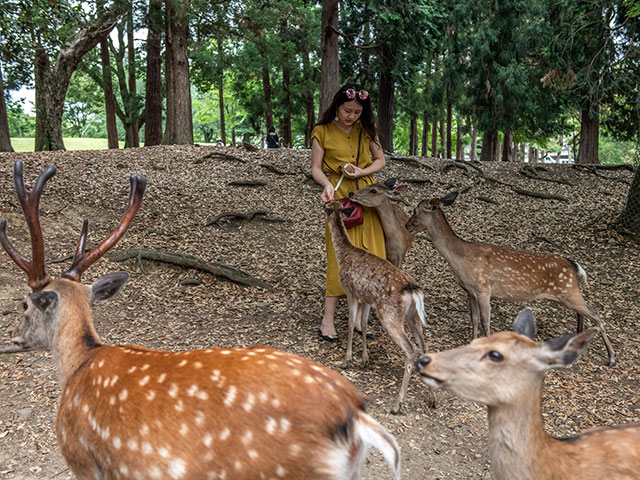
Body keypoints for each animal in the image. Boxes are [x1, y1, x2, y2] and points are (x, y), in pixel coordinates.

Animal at [324, 199, 436, 412]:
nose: (324, 201)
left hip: (390, 315)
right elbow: (364, 324)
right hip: (413, 316)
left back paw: (397, 404)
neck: (344, 254)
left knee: (410, 350)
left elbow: (350, 324)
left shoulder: (350, 291)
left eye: (327, 206)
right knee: (425, 348)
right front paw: (364, 360)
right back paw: (432, 400)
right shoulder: (368, 298)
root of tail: (413, 290)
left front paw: (347, 360)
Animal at [404, 190, 616, 364]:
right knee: (584, 313)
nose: (406, 225)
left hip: (568, 291)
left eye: (415, 210)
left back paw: (611, 358)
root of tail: (574, 265)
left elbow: (485, 320)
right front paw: (472, 342)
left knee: (596, 315)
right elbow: (473, 318)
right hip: (569, 292)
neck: (461, 260)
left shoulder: (483, 288)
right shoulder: (470, 291)